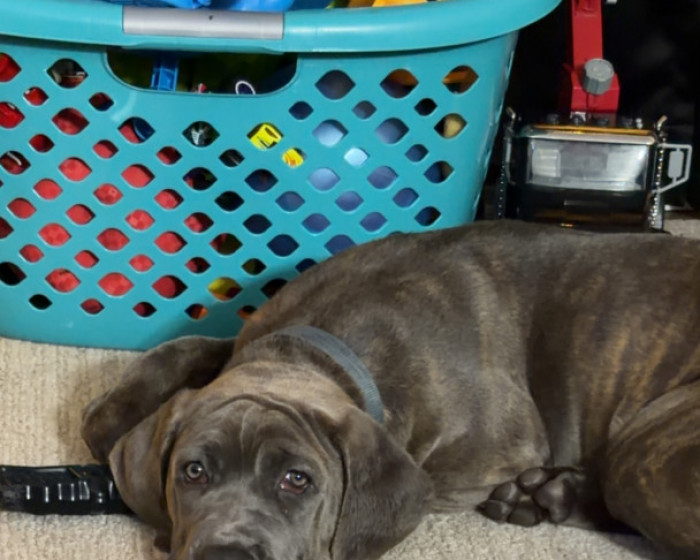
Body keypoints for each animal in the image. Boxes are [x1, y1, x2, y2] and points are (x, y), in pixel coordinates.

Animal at [81, 220, 700, 560]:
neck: (324, 345)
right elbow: (182, 346)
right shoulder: (246, 337)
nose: (228, 553)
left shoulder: (492, 452)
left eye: (297, 481)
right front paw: (111, 418)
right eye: (193, 472)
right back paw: (547, 495)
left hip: (645, 450)